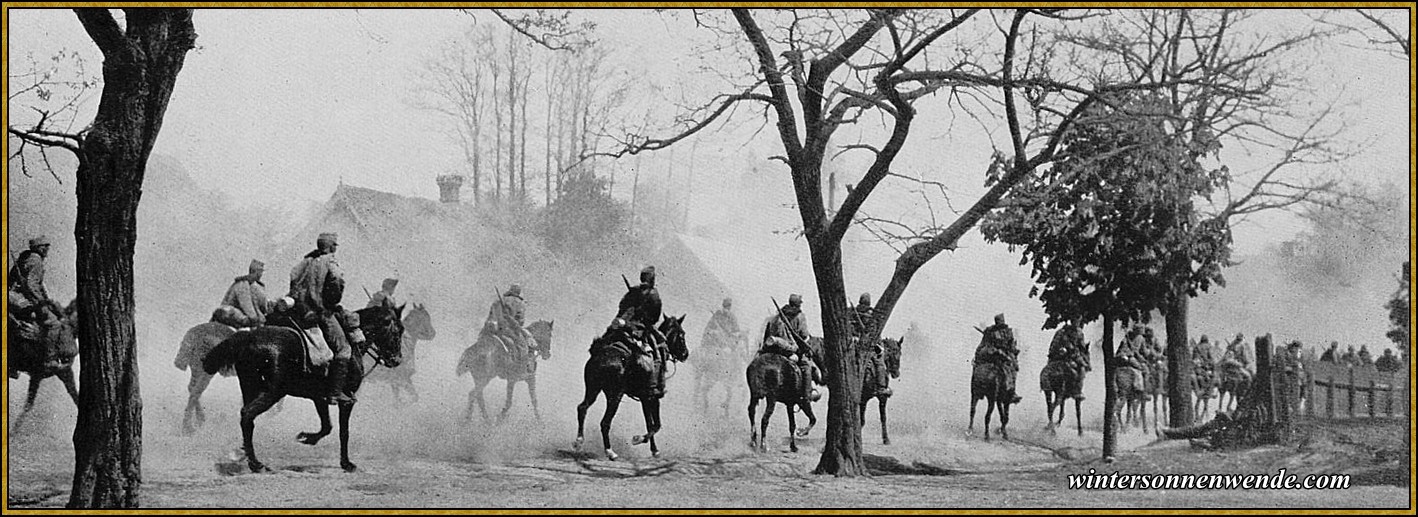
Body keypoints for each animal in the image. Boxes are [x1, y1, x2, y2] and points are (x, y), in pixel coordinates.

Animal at [198, 300, 405, 473]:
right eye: (398, 330)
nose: (396, 360)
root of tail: (249, 337)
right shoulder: (347, 400)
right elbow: (343, 432)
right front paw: (346, 464)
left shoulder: (320, 398)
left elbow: (327, 426)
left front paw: (307, 437)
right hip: (271, 393)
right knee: (247, 415)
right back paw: (256, 464)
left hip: (250, 388)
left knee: (247, 419)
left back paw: (243, 454)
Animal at [572, 314, 689, 458]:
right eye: (682, 333)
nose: (685, 354)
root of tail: (601, 359)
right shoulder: (653, 397)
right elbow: (656, 425)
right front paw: (638, 439)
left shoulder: (645, 399)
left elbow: (650, 424)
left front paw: (654, 449)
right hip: (615, 396)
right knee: (605, 422)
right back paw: (610, 451)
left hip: (593, 389)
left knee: (582, 408)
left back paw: (579, 441)